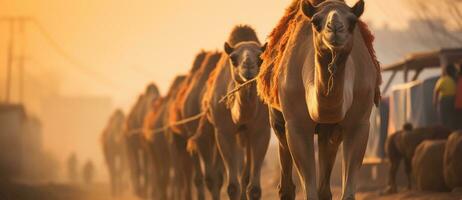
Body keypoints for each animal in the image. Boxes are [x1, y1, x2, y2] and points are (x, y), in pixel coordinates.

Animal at [202, 25, 270, 200]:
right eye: (233, 59)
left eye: (261, 58)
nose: (248, 66)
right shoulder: (223, 132)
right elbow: (232, 187)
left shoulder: (261, 131)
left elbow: (254, 188)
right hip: (211, 130)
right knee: (215, 176)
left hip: (245, 135)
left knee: (244, 176)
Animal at [256, 0, 382, 199]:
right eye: (315, 22)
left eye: (353, 22)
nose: (335, 27)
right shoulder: (297, 125)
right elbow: (310, 188)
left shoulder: (359, 123)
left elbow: (345, 191)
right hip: (278, 120)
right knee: (285, 171)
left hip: (329, 130)